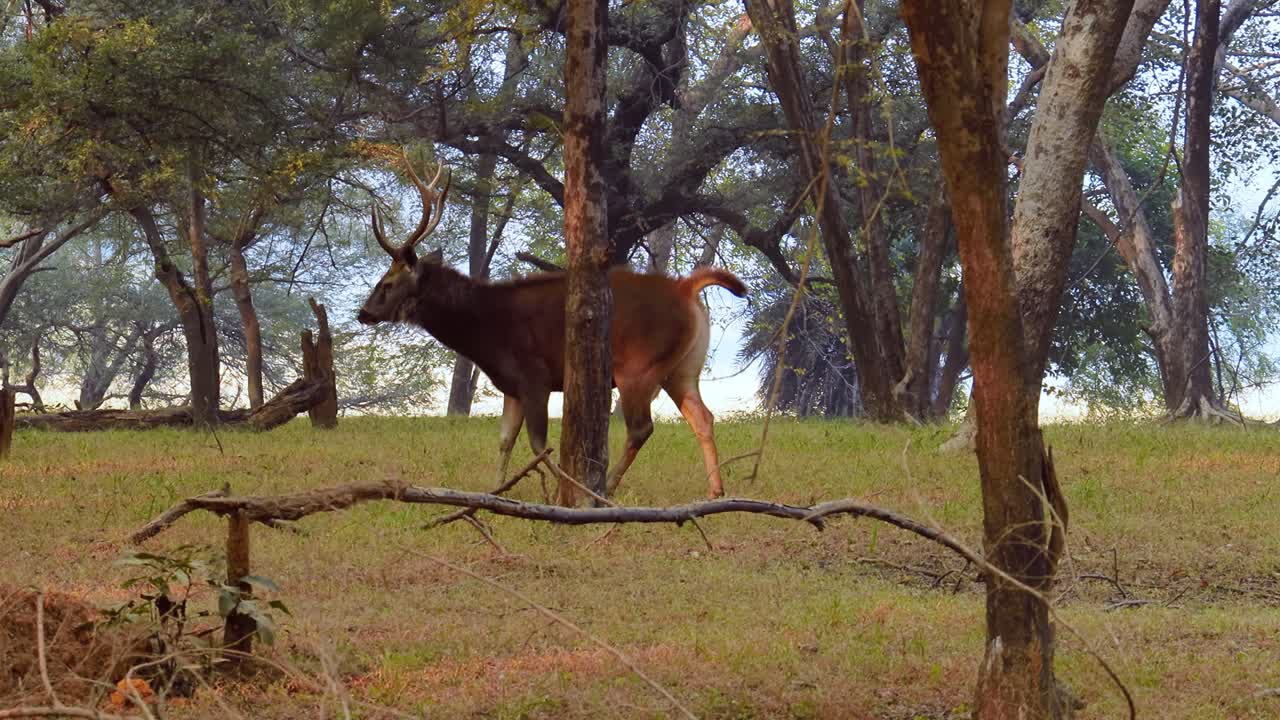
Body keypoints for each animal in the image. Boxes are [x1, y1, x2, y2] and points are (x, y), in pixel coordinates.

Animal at [356, 159, 748, 499]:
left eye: (387, 282)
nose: (363, 313)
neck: (485, 333)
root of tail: (686, 289)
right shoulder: (512, 386)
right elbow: (505, 440)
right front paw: (495, 491)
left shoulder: (535, 376)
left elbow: (539, 444)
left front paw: (556, 491)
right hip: (682, 367)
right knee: (703, 417)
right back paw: (716, 489)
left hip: (639, 365)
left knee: (641, 428)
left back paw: (606, 487)